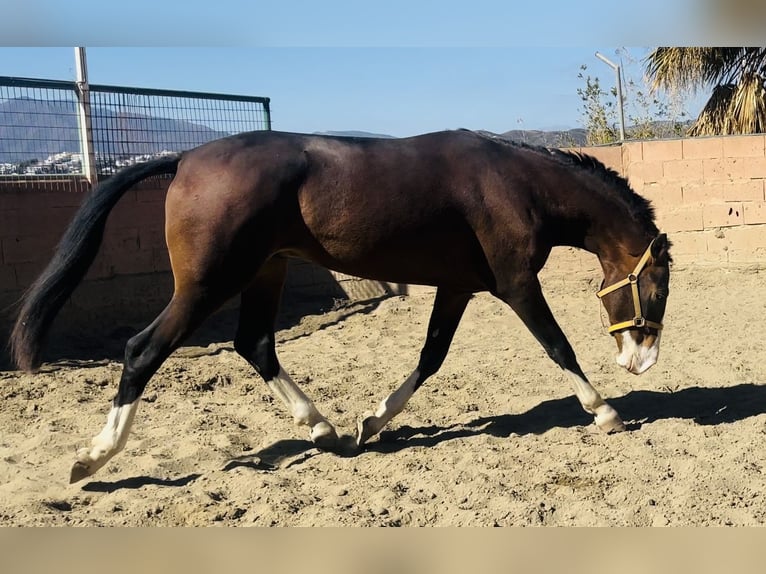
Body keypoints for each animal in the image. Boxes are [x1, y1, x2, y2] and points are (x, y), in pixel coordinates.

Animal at [7, 128, 672, 484]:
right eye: (660, 286)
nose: (641, 360)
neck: (515, 184)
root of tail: (186, 159)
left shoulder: (459, 288)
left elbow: (432, 356)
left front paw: (370, 424)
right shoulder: (514, 285)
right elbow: (558, 345)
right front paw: (606, 411)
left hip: (265, 271)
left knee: (254, 343)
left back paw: (322, 427)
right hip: (206, 285)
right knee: (142, 350)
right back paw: (93, 458)